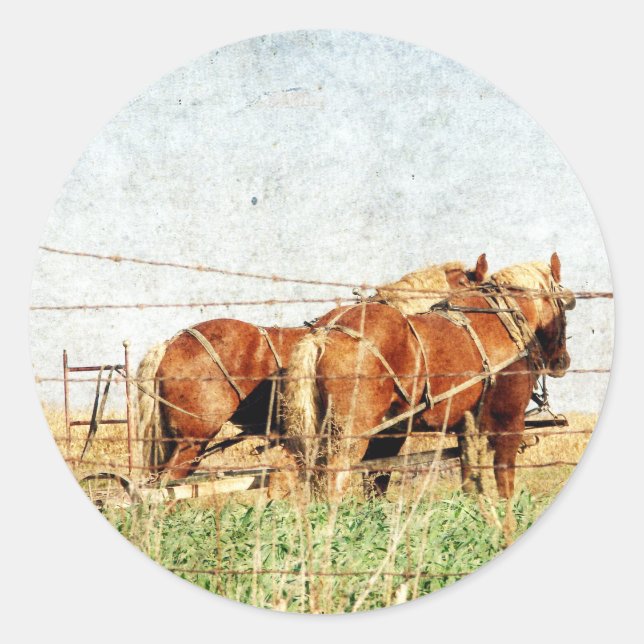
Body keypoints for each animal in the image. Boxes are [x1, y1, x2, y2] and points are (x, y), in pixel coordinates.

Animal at [278, 253, 575, 502]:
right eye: (563, 305)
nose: (562, 361)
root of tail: (323, 334)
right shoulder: (509, 423)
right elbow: (504, 482)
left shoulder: (464, 428)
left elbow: (468, 479)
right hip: (351, 432)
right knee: (333, 480)